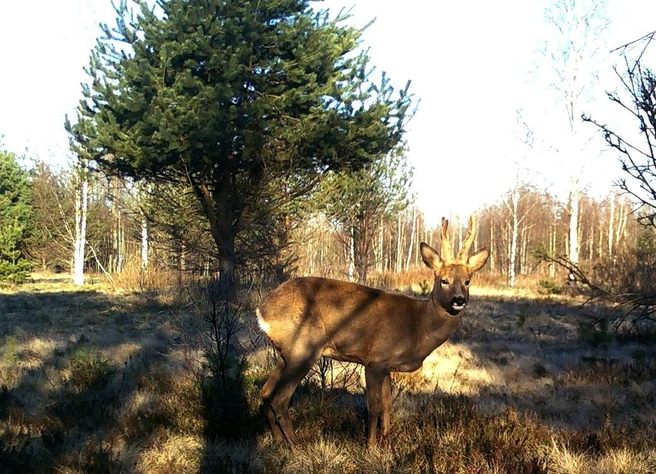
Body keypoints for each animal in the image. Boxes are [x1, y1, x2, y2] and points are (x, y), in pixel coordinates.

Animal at [256, 215, 489, 448]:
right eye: (444, 280)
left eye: (467, 281)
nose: (459, 300)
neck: (418, 327)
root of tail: (262, 309)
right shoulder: (375, 360)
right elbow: (374, 406)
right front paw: (371, 445)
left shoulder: (386, 365)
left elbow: (388, 403)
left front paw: (386, 437)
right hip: (303, 349)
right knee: (279, 399)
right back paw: (296, 445)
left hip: (285, 355)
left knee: (265, 392)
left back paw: (278, 440)